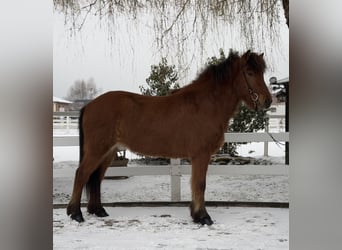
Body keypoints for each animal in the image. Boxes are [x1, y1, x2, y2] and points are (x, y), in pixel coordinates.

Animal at [67, 49, 272, 226]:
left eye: (262, 72)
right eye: (250, 72)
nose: (268, 101)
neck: (206, 104)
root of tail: (89, 105)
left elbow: (196, 184)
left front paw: (196, 214)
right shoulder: (200, 155)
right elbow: (200, 184)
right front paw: (203, 217)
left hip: (109, 152)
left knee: (96, 178)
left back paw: (98, 210)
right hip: (97, 150)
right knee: (81, 174)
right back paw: (75, 214)